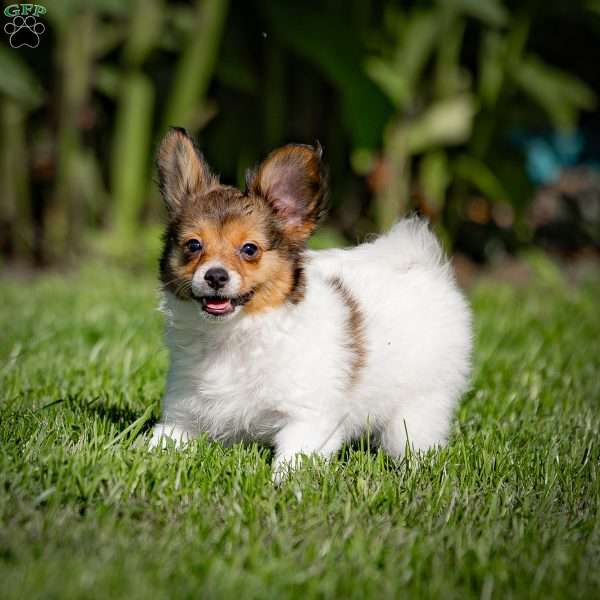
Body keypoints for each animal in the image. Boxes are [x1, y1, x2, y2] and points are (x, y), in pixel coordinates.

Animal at [150, 127, 474, 478]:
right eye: (194, 245)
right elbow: (157, 445)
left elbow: (292, 462)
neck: (233, 337)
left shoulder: (308, 419)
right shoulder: (182, 417)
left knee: (413, 437)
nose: (215, 276)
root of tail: (416, 259)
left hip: (421, 403)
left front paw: (282, 484)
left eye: (250, 249)